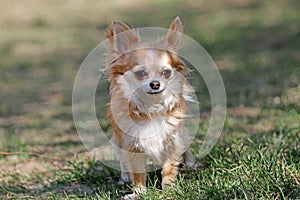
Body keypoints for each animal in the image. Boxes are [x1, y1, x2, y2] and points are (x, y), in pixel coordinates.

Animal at [104, 16, 196, 197]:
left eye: (166, 73)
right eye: (140, 73)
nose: (155, 84)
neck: (151, 107)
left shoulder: (172, 140)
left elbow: (168, 167)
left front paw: (169, 189)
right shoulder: (132, 145)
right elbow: (137, 171)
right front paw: (139, 192)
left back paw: (190, 163)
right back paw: (124, 176)